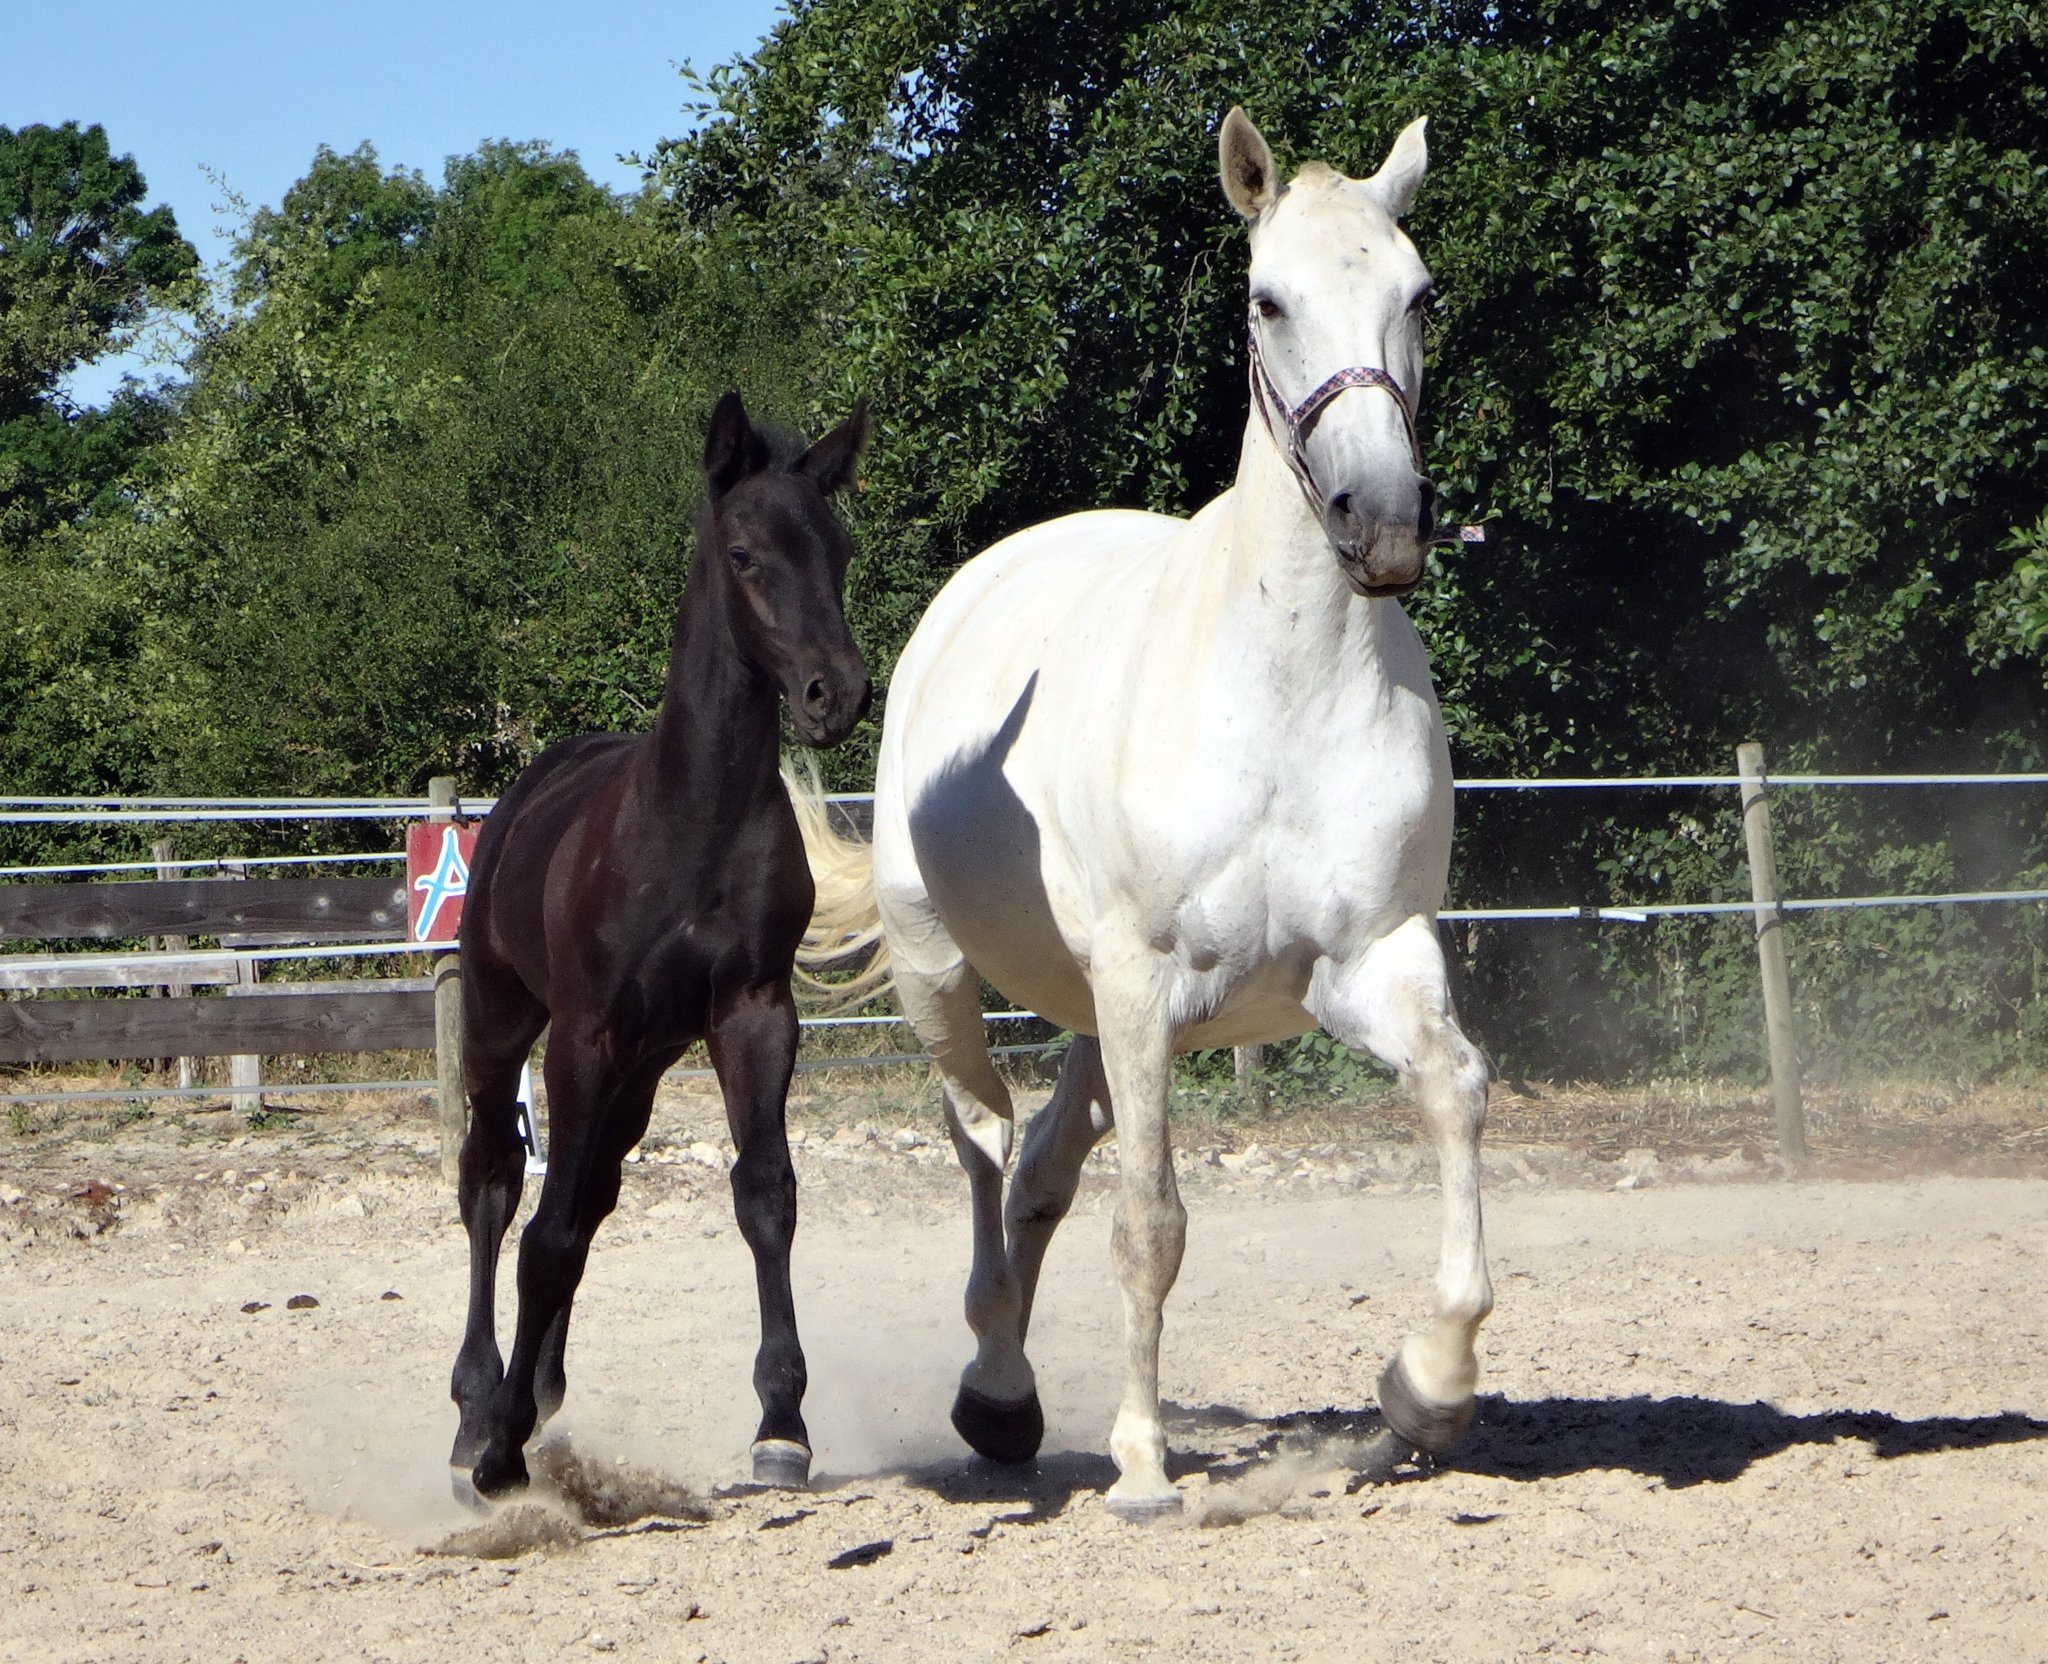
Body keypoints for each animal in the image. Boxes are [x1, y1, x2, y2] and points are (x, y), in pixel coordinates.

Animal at [448, 390, 873, 1499]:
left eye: (839, 549)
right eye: (744, 553)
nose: (836, 693)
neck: (690, 824)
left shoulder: (754, 1013)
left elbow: (764, 1194)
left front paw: (782, 1423)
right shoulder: (582, 1034)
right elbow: (543, 1230)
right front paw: (500, 1443)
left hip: (644, 1063)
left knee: (592, 1189)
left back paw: (537, 1386)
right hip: (503, 1024)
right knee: (492, 1185)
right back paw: (476, 1409)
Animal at [800, 107, 1492, 1520]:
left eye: (1419, 296)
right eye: (1266, 298)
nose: (1385, 522)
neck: (1280, 688)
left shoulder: (1369, 959)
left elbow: (1455, 1092)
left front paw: (1426, 1383)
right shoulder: (1141, 981)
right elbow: (1150, 1223)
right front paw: (1137, 1461)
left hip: (1095, 1013)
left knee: (1039, 1166)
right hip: (946, 972)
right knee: (982, 1143)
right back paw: (998, 1389)